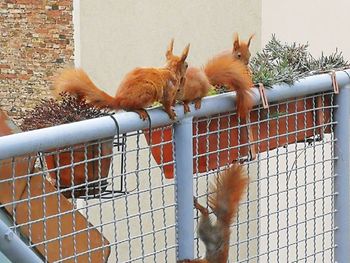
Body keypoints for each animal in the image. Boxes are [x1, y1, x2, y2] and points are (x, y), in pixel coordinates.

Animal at [53, 39, 190, 120]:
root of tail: (118, 100)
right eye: (186, 65)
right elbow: (167, 104)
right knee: (127, 107)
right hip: (148, 90)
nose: (188, 67)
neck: (170, 70)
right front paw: (171, 113)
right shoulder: (169, 91)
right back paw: (139, 110)